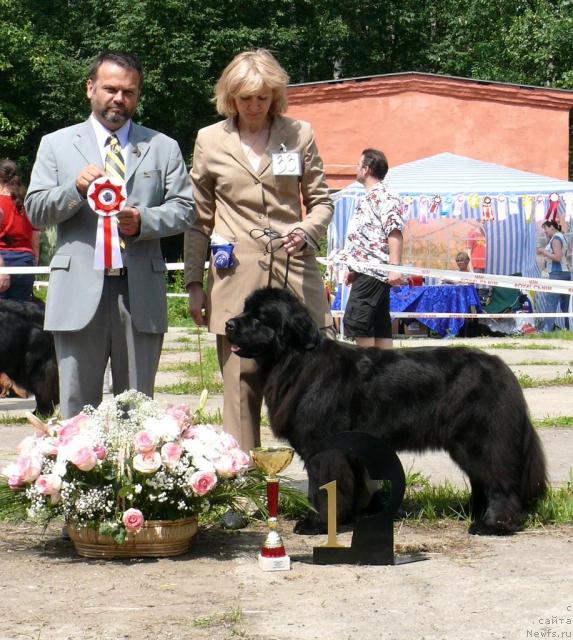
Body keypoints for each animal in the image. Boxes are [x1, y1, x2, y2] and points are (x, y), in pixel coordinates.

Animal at [226, 286, 548, 536]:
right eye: (244, 310)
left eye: (258, 317)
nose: (228, 324)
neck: (295, 360)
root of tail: (500, 367)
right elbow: (350, 484)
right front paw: (350, 516)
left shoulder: (325, 448)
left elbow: (323, 486)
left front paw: (318, 522)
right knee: (482, 479)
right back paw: (472, 512)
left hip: (480, 440)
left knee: (498, 481)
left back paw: (492, 524)